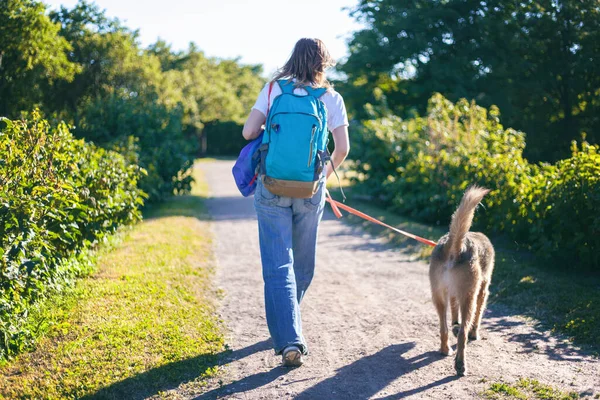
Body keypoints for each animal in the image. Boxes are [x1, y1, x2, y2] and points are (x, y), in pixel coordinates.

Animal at [428, 186, 494, 376]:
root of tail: (455, 247)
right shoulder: (482, 290)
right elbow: (478, 315)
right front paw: (474, 333)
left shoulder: (451, 294)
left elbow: (453, 313)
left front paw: (455, 324)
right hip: (468, 297)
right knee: (462, 335)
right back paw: (460, 365)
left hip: (439, 296)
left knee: (443, 328)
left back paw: (445, 350)